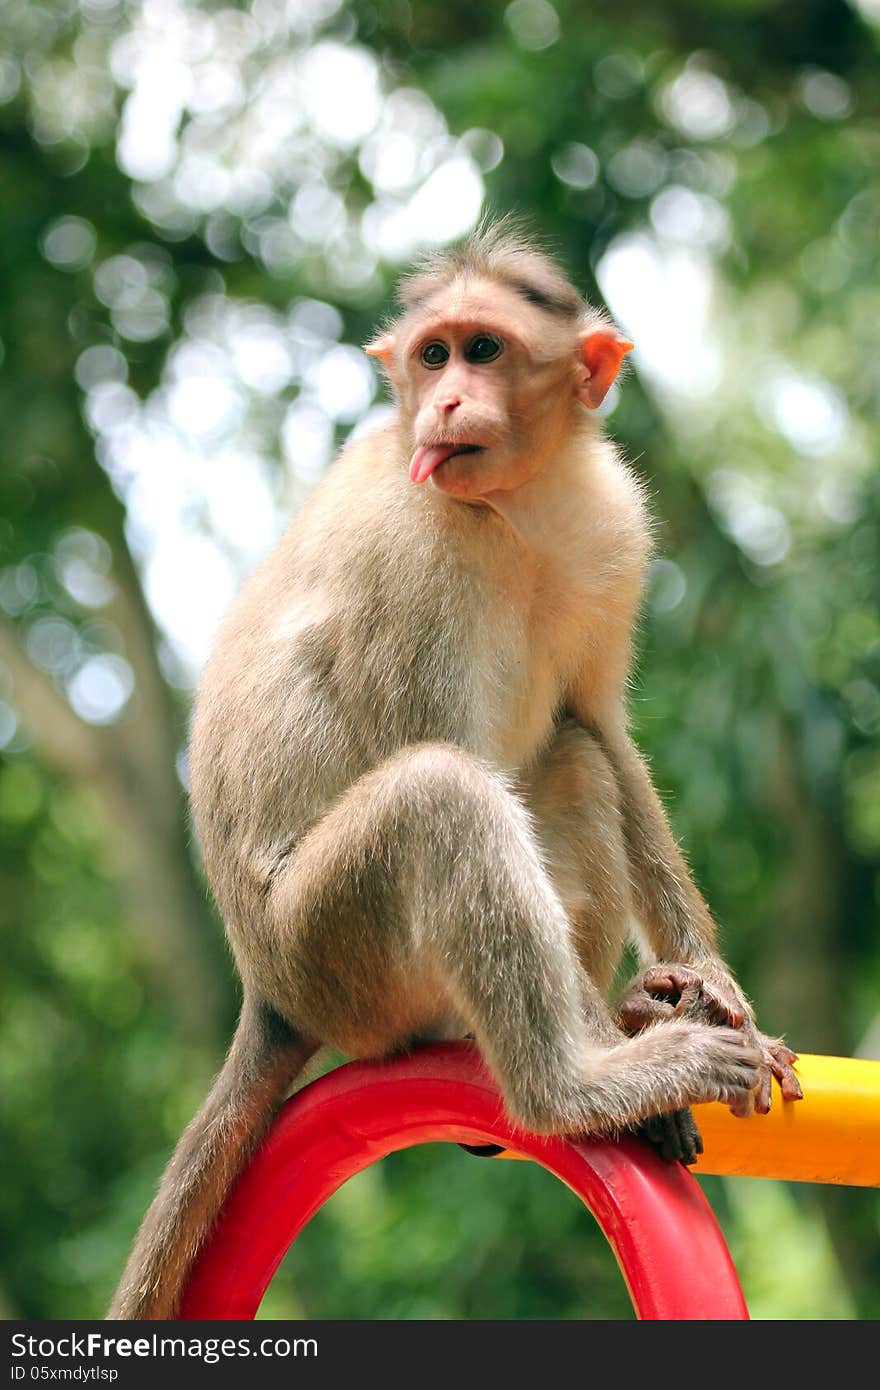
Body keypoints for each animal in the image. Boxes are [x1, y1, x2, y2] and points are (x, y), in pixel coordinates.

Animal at [106, 222, 800, 1317]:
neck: (516, 505)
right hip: (334, 951)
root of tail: (269, 992)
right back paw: (578, 1083)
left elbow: (600, 727)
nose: (443, 403)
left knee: (571, 762)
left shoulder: (615, 526)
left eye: (482, 350)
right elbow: (451, 753)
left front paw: (707, 979)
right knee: (443, 795)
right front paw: (638, 1055)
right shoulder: (417, 546)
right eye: (432, 355)